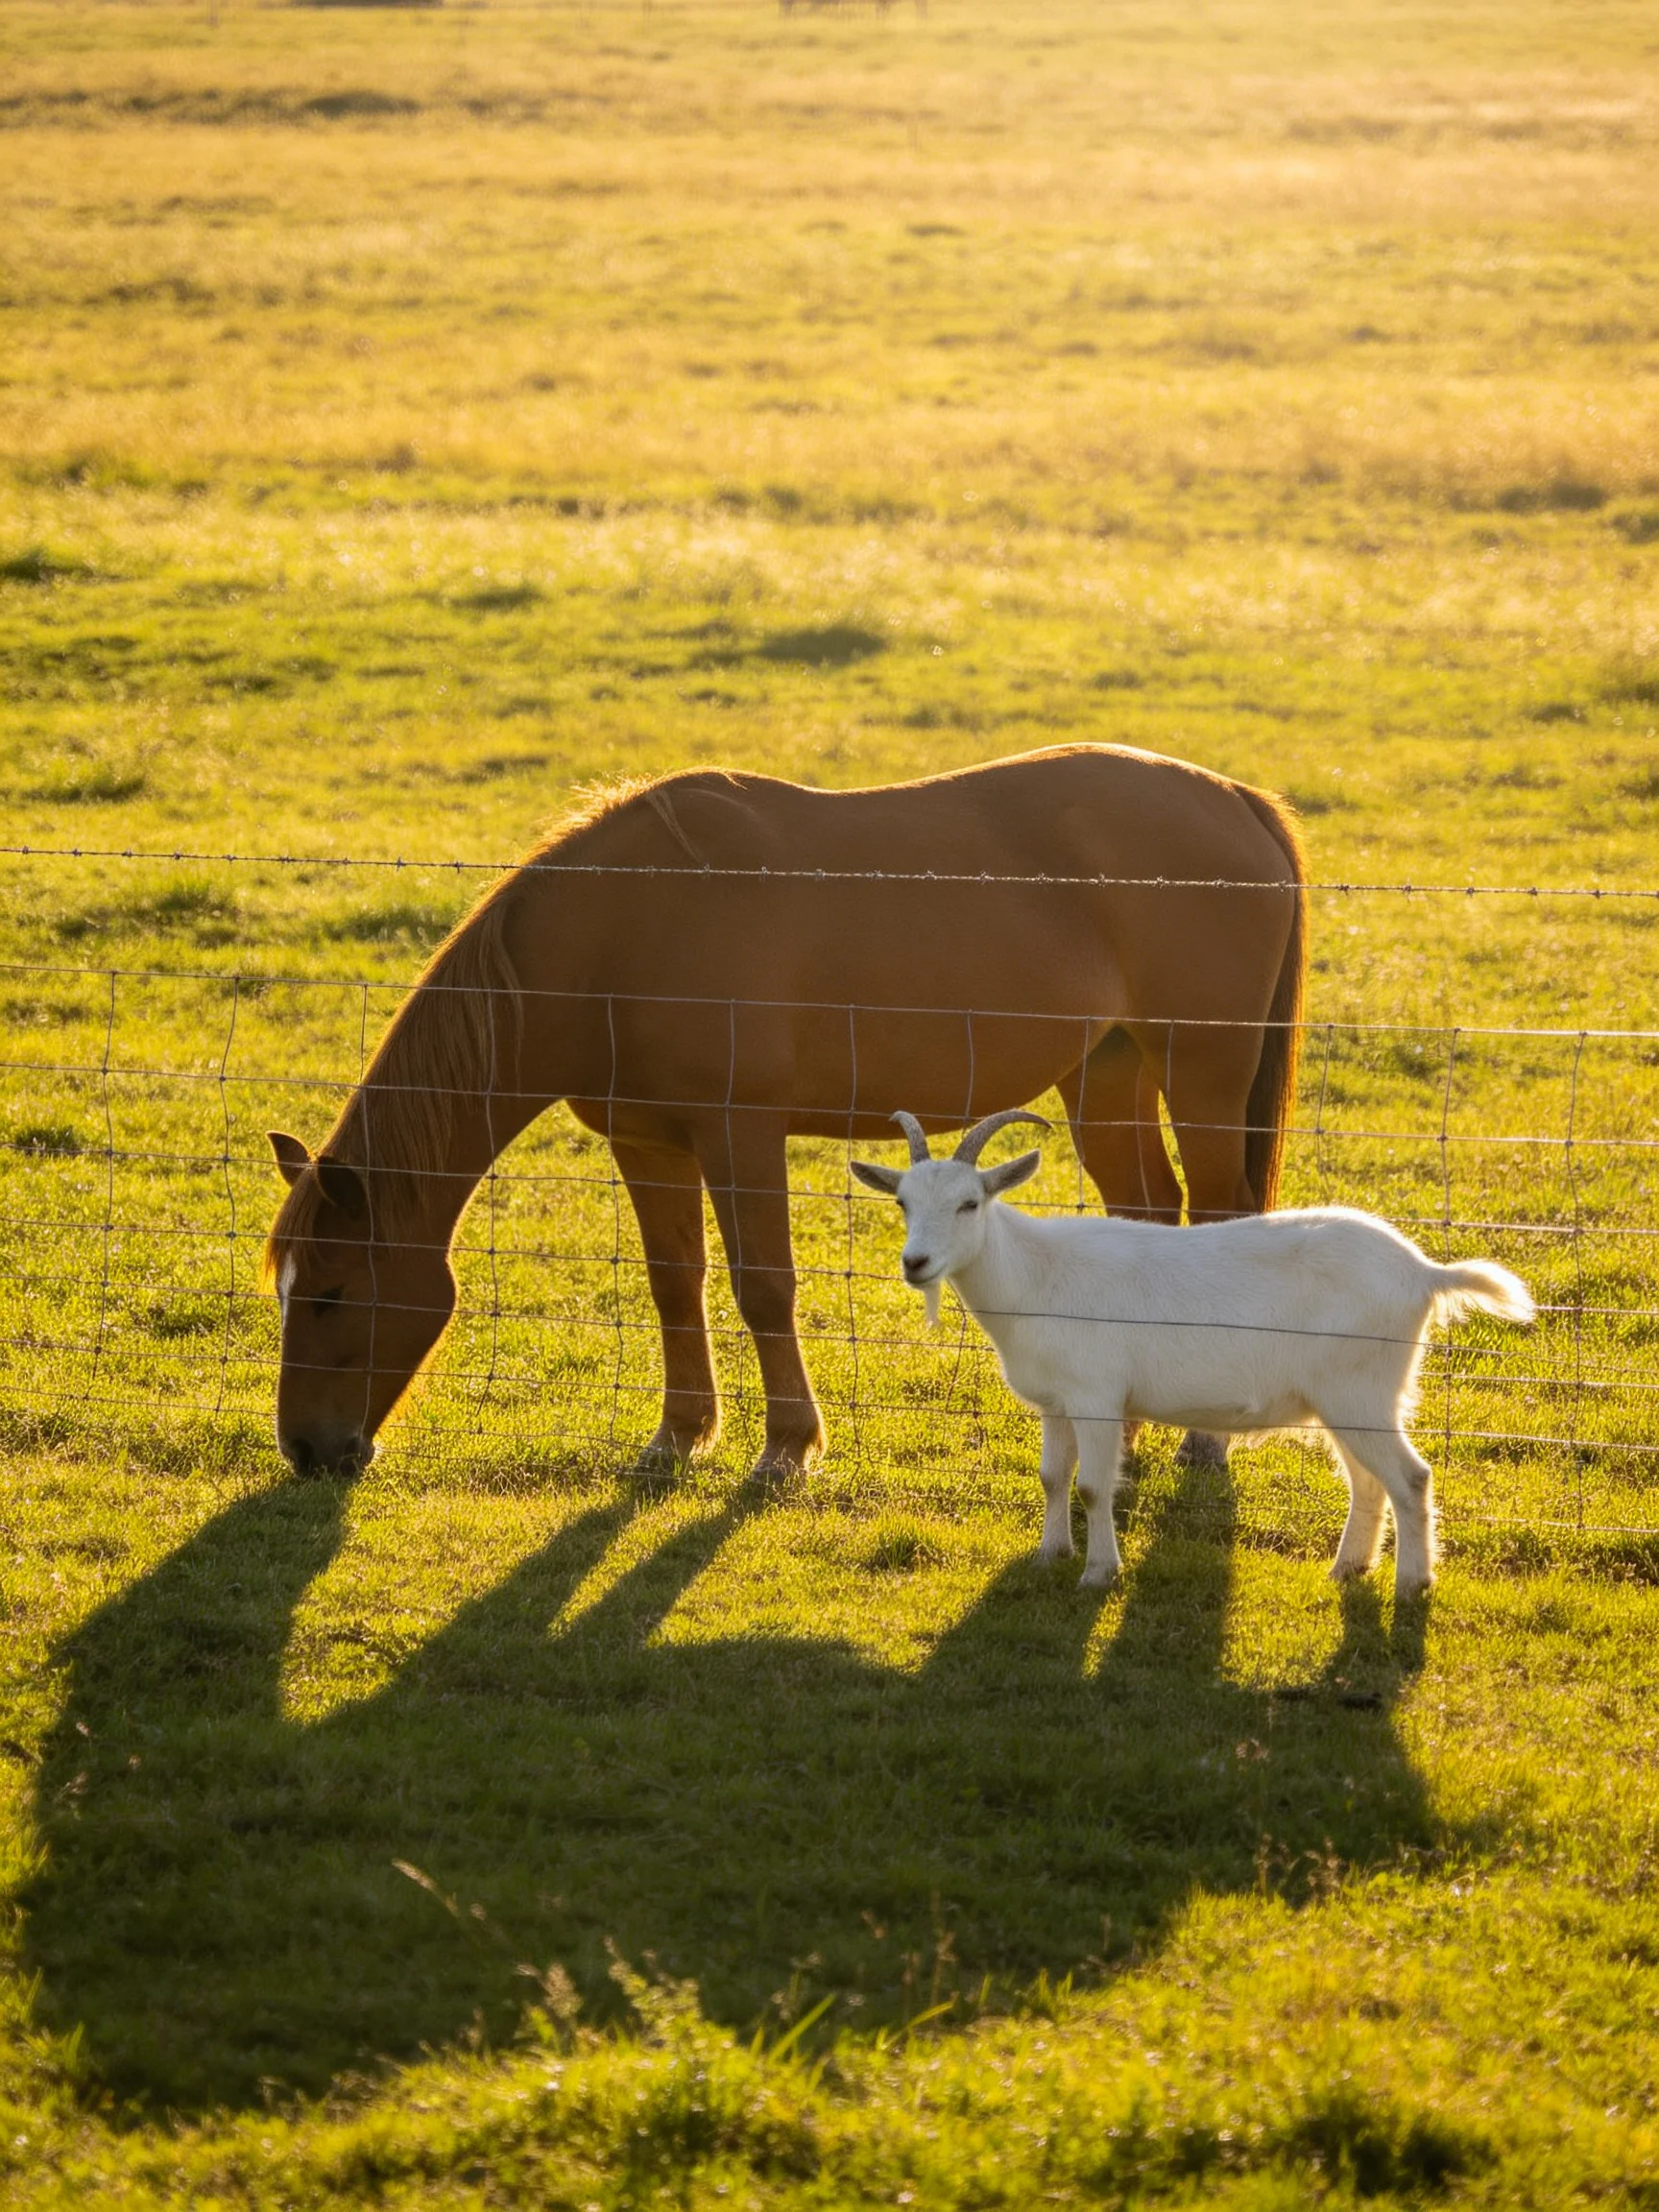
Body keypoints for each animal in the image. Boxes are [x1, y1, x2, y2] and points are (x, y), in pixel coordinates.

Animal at [265, 743, 1306, 1483]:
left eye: (332, 1293)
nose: (309, 1452)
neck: (618, 935)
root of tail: (1237, 798)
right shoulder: (648, 1143)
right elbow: (673, 1283)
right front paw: (679, 1436)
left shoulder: (741, 1134)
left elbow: (763, 1286)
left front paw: (786, 1449)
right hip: (1106, 1072)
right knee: (1148, 1218)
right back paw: (1123, 1431)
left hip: (1201, 1078)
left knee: (1219, 1218)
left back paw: (1204, 1442)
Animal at [851, 1109, 1534, 1599]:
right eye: (902, 1202)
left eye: (969, 1203)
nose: (915, 1264)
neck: (1036, 1274)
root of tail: (1423, 1273)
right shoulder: (1055, 1402)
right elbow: (1052, 1477)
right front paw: (1051, 1555)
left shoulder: (1098, 1397)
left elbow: (1094, 1486)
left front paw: (1098, 1573)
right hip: (1350, 1398)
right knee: (1369, 1480)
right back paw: (1348, 1570)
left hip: (1360, 1389)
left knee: (1411, 1478)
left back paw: (1413, 1585)